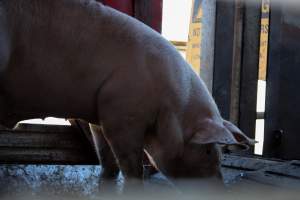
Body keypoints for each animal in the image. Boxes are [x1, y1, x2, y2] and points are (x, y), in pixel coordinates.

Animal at [0, 0, 253, 185]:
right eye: (209, 151)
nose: (220, 189)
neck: (171, 106)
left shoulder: (99, 115)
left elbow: (106, 158)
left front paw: (106, 181)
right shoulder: (121, 114)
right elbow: (131, 164)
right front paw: (133, 184)